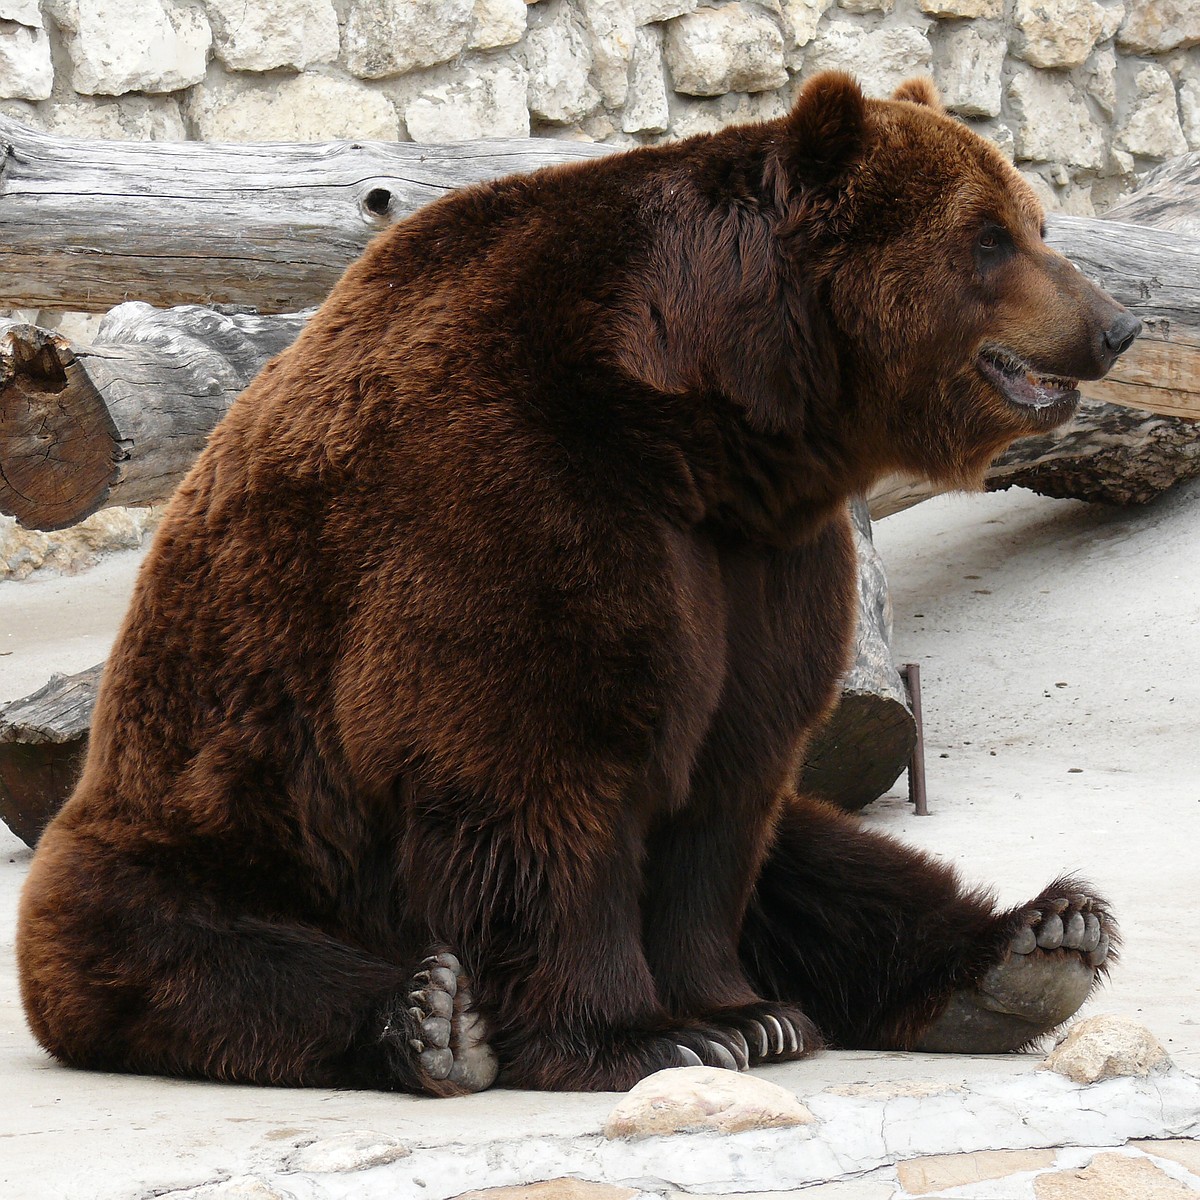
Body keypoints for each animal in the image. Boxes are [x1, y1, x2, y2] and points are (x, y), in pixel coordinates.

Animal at [16, 75, 1132, 1099]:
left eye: (1035, 221)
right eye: (988, 239)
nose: (1115, 324)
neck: (707, 420)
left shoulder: (760, 562)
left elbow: (731, 785)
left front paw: (744, 1013)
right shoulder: (523, 487)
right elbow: (535, 766)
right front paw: (649, 1036)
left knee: (824, 861)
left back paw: (1036, 947)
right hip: (214, 832)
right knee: (195, 953)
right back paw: (426, 1019)